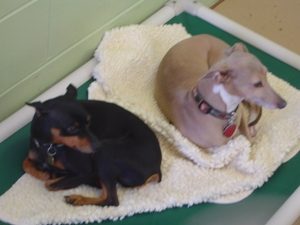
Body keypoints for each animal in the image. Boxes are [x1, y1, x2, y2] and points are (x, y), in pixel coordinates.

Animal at [22, 84, 162, 206]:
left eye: (88, 122)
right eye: (72, 128)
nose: (98, 146)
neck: (49, 146)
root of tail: (157, 169)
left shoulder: (86, 171)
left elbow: (48, 183)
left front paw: (51, 173)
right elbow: (25, 163)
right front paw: (46, 172)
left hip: (106, 153)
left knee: (111, 200)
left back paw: (77, 198)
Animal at [156, 34, 288, 149]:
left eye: (266, 74)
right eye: (257, 84)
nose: (283, 104)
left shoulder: (240, 112)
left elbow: (247, 136)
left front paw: (251, 135)